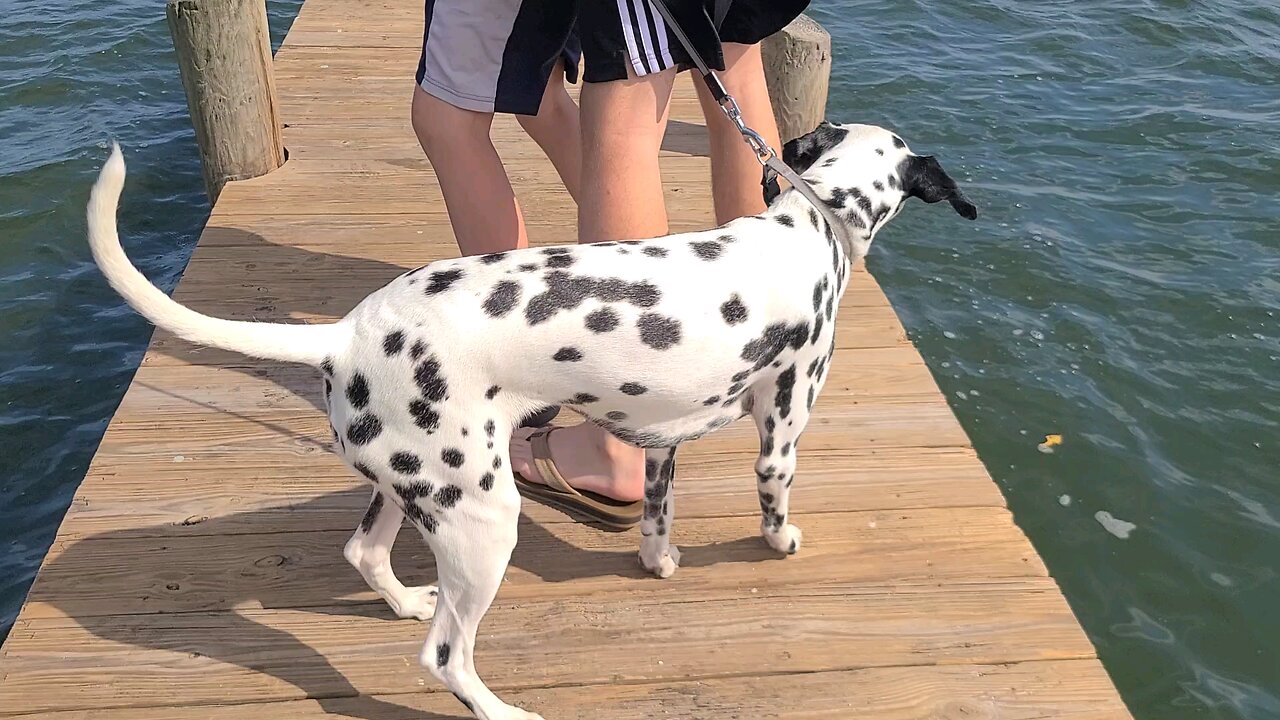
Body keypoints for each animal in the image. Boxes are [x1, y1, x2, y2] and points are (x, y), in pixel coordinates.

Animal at [87, 122, 967, 717]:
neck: (806, 226)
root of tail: (344, 334)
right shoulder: (781, 432)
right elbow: (774, 503)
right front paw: (780, 543)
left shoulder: (658, 444)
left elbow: (656, 521)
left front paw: (659, 562)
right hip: (485, 524)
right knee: (445, 657)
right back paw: (501, 708)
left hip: (416, 492)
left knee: (365, 554)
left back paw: (404, 599)